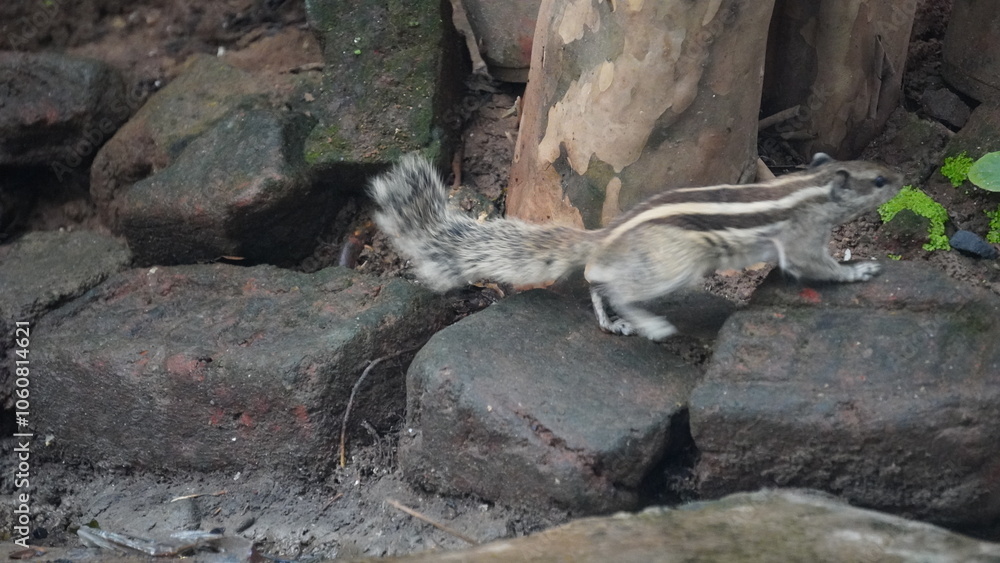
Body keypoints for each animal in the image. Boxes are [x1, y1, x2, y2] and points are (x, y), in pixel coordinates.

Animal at [369, 153, 903, 340]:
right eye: (878, 180)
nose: (901, 178)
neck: (810, 187)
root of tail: (605, 234)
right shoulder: (802, 239)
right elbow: (815, 266)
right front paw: (858, 271)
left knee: (596, 278)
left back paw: (613, 321)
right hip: (675, 264)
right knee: (608, 281)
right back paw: (649, 323)